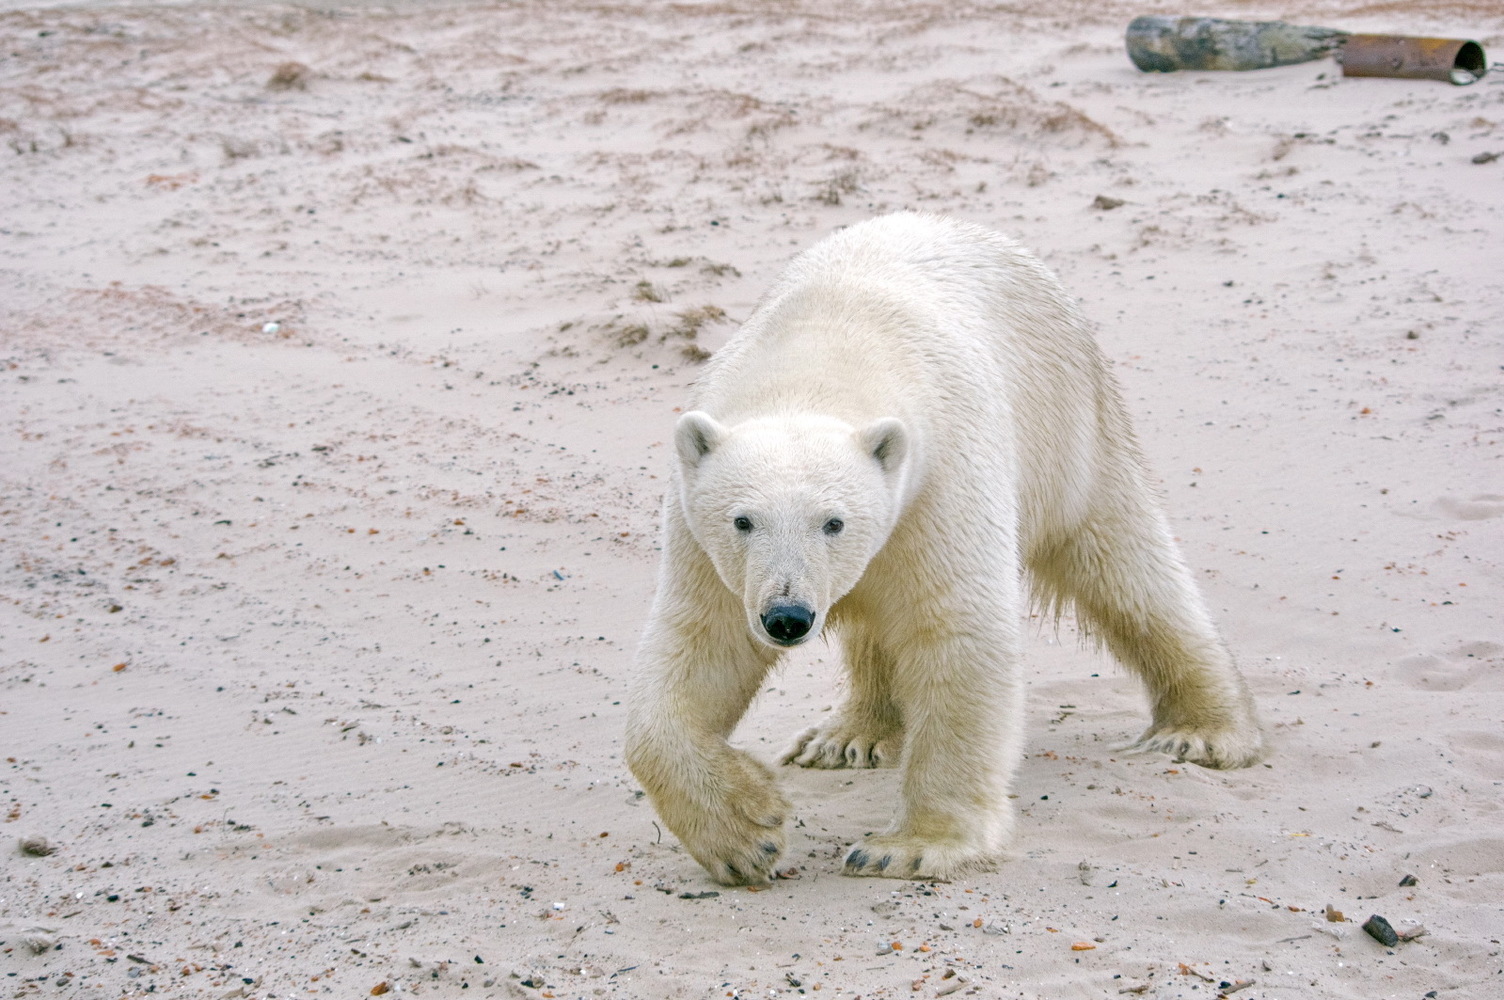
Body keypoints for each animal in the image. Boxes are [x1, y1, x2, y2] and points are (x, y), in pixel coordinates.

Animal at [625, 210, 1269, 884]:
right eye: (743, 521)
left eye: (834, 522)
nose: (787, 617)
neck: (821, 354)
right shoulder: (706, 544)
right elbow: (702, 646)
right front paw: (747, 835)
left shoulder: (943, 478)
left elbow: (958, 633)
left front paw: (908, 846)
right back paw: (846, 738)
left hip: (1072, 429)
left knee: (1128, 569)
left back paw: (1202, 730)